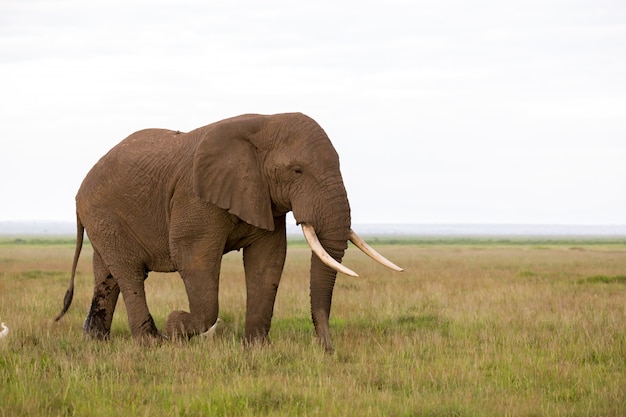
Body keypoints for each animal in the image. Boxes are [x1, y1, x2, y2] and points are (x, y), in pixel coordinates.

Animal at [56, 112, 402, 350]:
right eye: (297, 171)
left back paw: (96, 341)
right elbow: (194, 258)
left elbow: (268, 260)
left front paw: (258, 348)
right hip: (104, 214)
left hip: (103, 222)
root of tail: (79, 191)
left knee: (107, 274)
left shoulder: (264, 197)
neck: (265, 123)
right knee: (129, 274)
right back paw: (151, 342)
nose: (328, 349)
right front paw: (176, 326)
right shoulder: (196, 197)